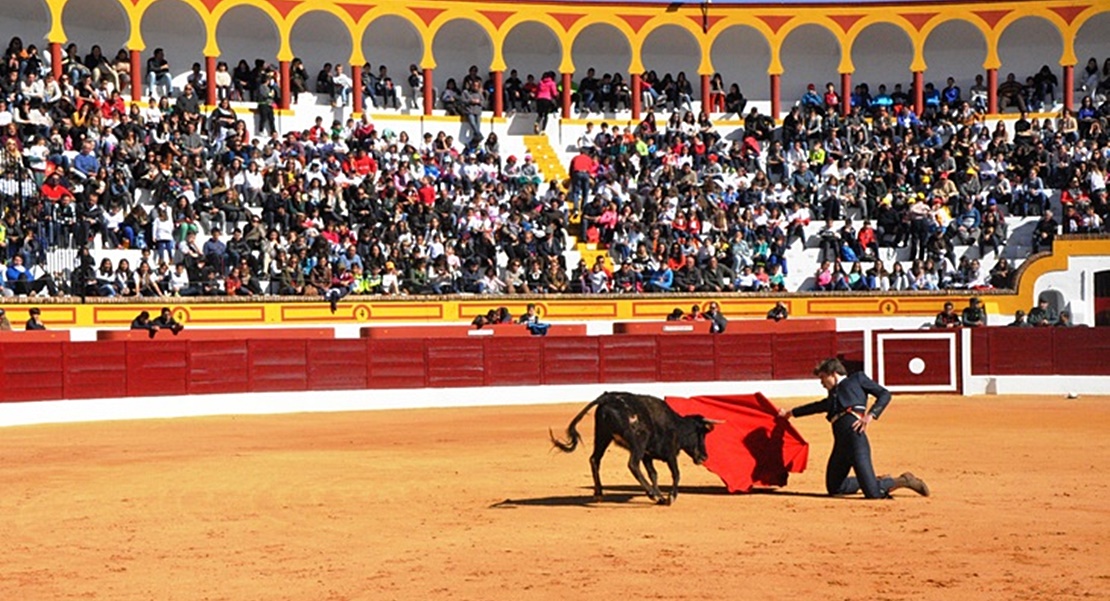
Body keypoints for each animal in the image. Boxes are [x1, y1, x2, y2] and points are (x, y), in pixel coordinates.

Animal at [548, 391, 719, 504]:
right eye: (701, 434)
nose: (705, 456)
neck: (676, 425)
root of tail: (607, 397)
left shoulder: (647, 455)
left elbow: (653, 474)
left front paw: (659, 495)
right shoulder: (670, 454)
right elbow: (676, 474)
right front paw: (669, 497)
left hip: (603, 436)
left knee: (594, 459)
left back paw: (599, 493)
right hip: (638, 440)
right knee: (632, 464)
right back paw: (652, 494)